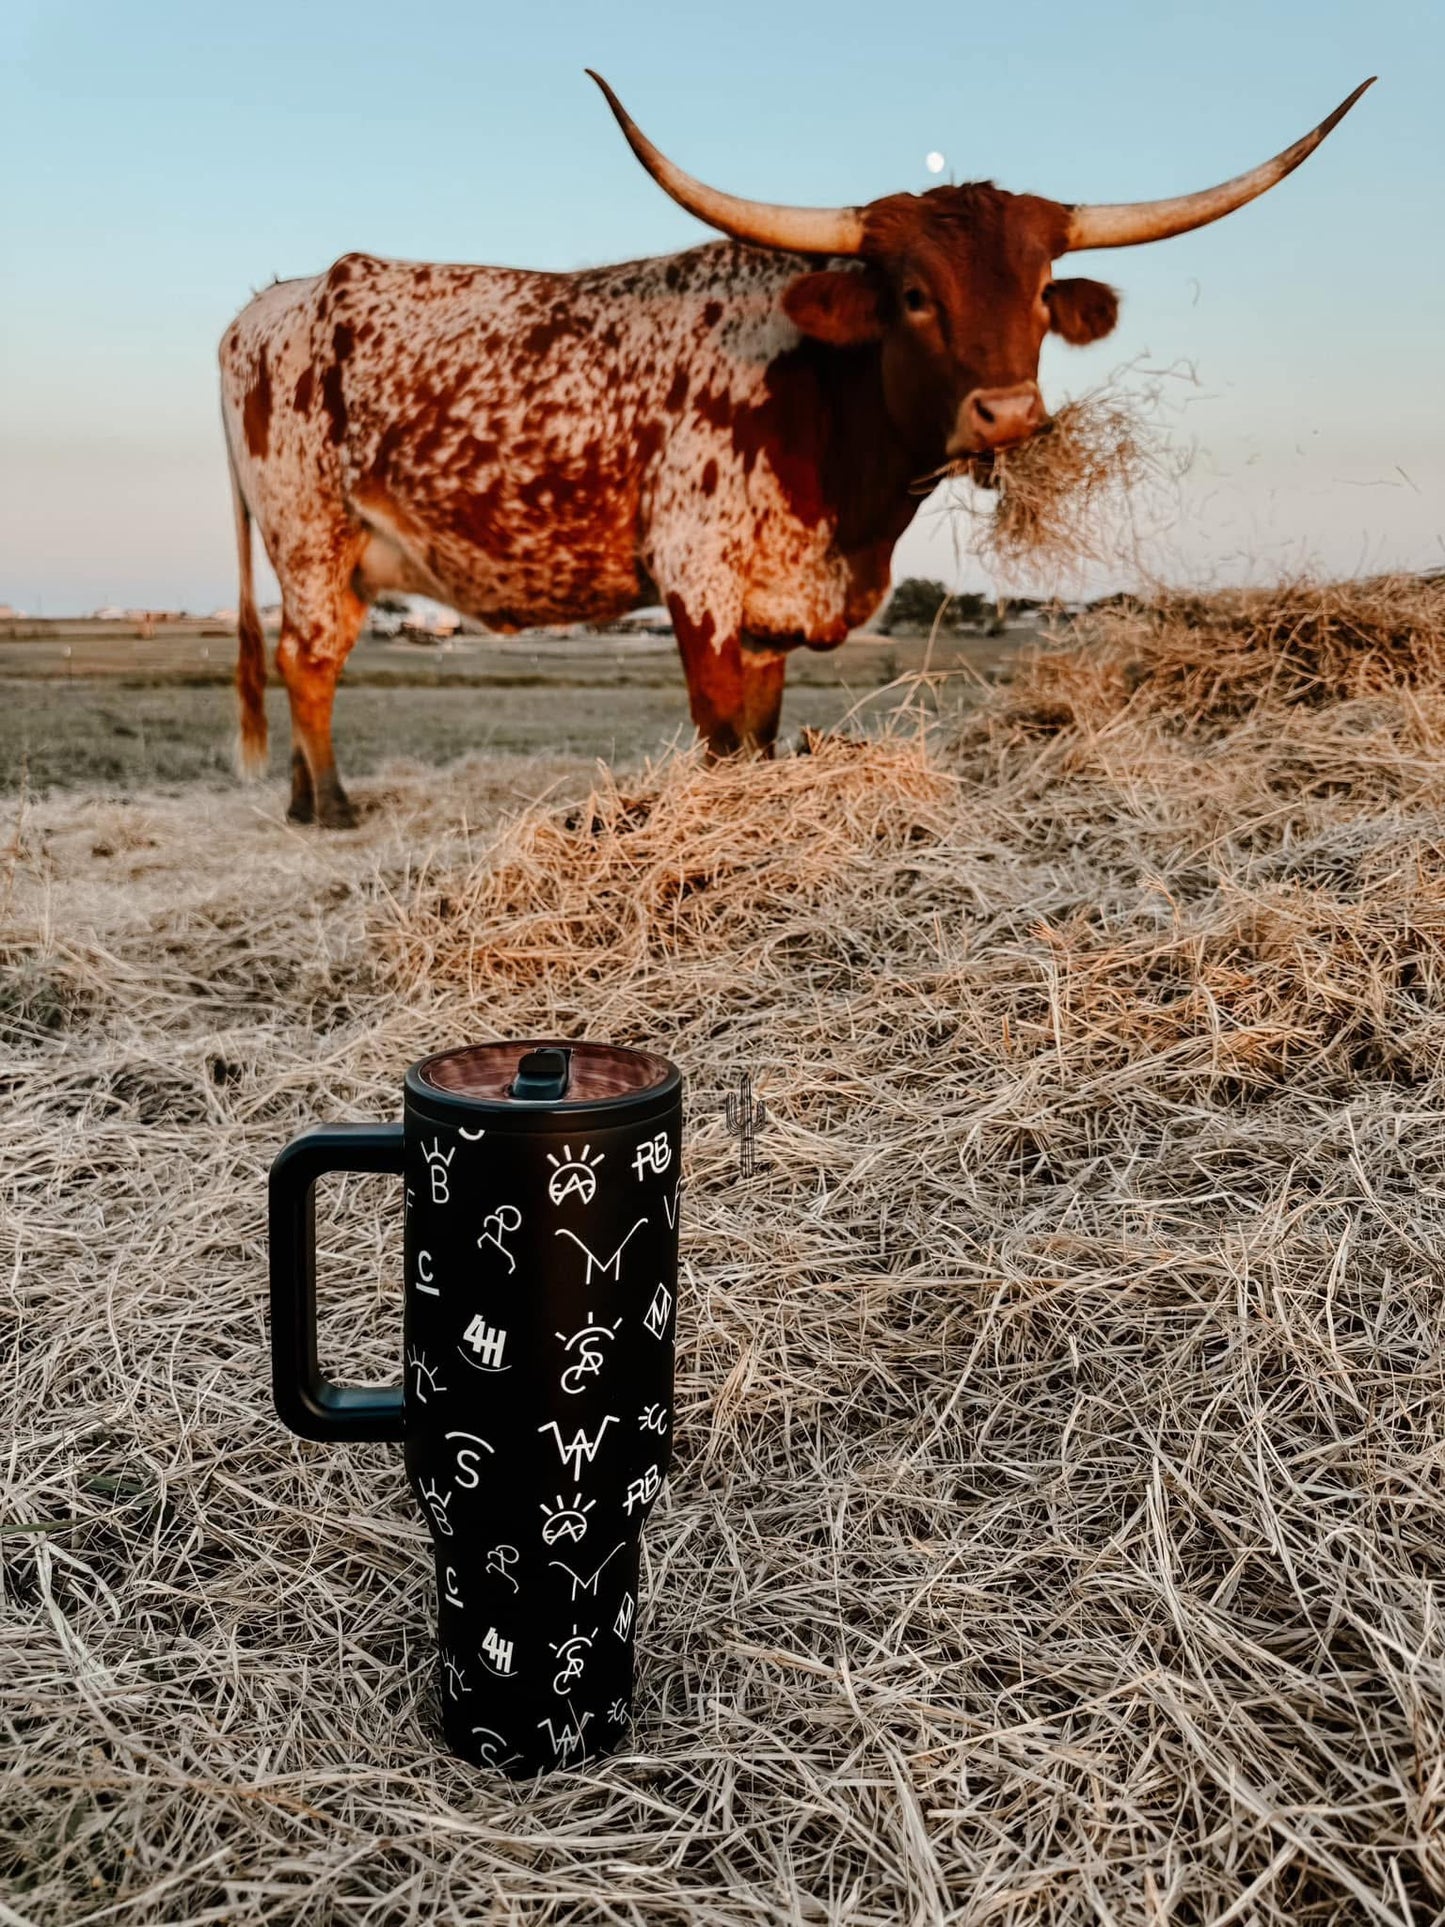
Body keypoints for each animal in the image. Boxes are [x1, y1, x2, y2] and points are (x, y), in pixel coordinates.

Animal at [220, 75, 1371, 824]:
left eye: (1042, 293)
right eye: (912, 295)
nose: (1005, 415)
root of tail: (269, 301)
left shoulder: (775, 605)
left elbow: (764, 738)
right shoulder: (696, 582)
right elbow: (720, 740)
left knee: (306, 657)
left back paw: (300, 803)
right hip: (311, 539)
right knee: (308, 663)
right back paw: (333, 807)